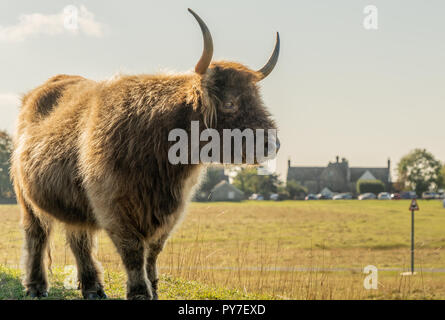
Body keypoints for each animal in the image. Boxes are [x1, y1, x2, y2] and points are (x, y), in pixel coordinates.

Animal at [12, 10, 280, 300]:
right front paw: (140, 292)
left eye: (259, 100)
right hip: (27, 198)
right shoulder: (114, 206)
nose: (272, 144)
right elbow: (132, 251)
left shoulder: (171, 211)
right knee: (36, 235)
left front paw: (153, 287)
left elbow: (153, 251)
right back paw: (36, 286)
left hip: (73, 202)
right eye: (230, 103)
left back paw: (93, 288)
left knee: (79, 238)